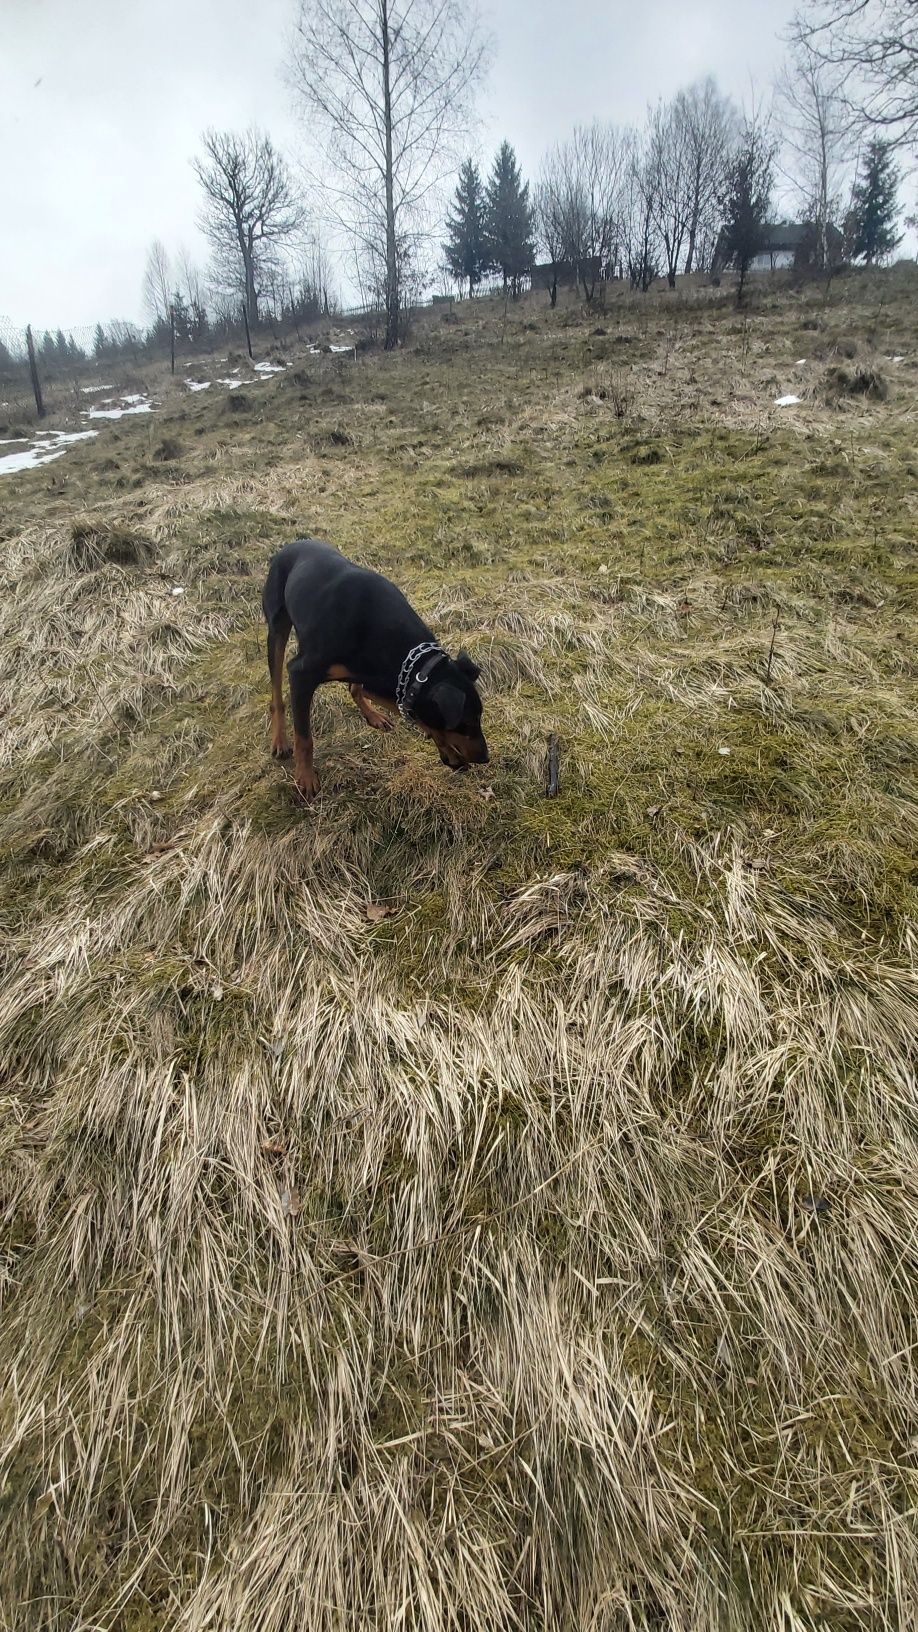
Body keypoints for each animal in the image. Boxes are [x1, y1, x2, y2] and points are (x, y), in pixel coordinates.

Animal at [259, 538, 486, 799]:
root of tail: (290, 545)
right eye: (465, 723)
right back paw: (280, 742)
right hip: (277, 627)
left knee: (355, 688)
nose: (485, 757)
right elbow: (304, 738)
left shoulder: (385, 678)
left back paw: (373, 715)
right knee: (277, 692)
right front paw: (305, 778)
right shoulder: (301, 673)